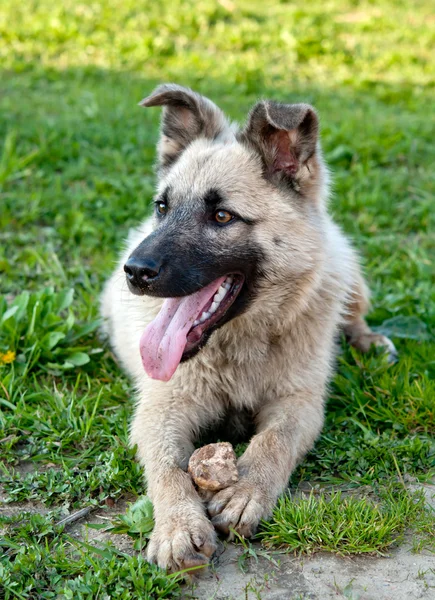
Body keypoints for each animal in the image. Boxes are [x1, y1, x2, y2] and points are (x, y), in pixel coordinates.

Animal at [101, 84, 396, 572]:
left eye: (222, 217)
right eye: (162, 207)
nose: (135, 271)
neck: (240, 344)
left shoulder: (300, 404)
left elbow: (273, 442)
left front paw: (246, 491)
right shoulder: (161, 408)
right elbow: (167, 468)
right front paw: (177, 525)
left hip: (347, 270)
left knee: (353, 313)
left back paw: (366, 340)